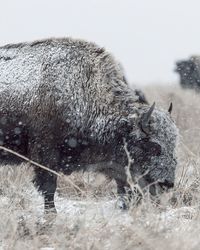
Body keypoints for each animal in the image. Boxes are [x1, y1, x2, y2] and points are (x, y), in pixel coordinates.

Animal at [0, 37, 177, 213]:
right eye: (152, 146)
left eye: (174, 145)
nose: (167, 183)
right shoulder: (45, 155)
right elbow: (49, 188)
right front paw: (51, 214)